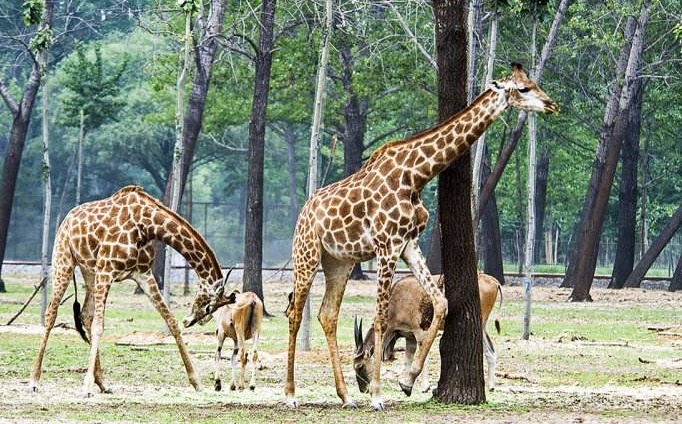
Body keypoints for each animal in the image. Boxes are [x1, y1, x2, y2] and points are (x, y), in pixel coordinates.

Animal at [29, 186, 235, 398]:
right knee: (52, 313)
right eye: (209, 307)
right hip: (64, 260)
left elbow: (170, 321)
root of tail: (67, 219)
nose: (191, 321)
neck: (148, 224)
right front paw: (85, 387)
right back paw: (34, 380)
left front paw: (197, 382)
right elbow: (98, 326)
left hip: (89, 271)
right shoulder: (106, 269)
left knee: (85, 314)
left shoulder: (143, 274)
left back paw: (103, 384)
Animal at [354, 274, 502, 392]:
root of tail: (493, 281)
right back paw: (491, 386)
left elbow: (422, 358)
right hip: (482, 326)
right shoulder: (409, 338)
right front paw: (404, 382)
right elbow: (407, 359)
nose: (363, 389)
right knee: (491, 351)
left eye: (359, 366)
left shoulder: (419, 333)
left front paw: (423, 386)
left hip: (479, 323)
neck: (395, 300)